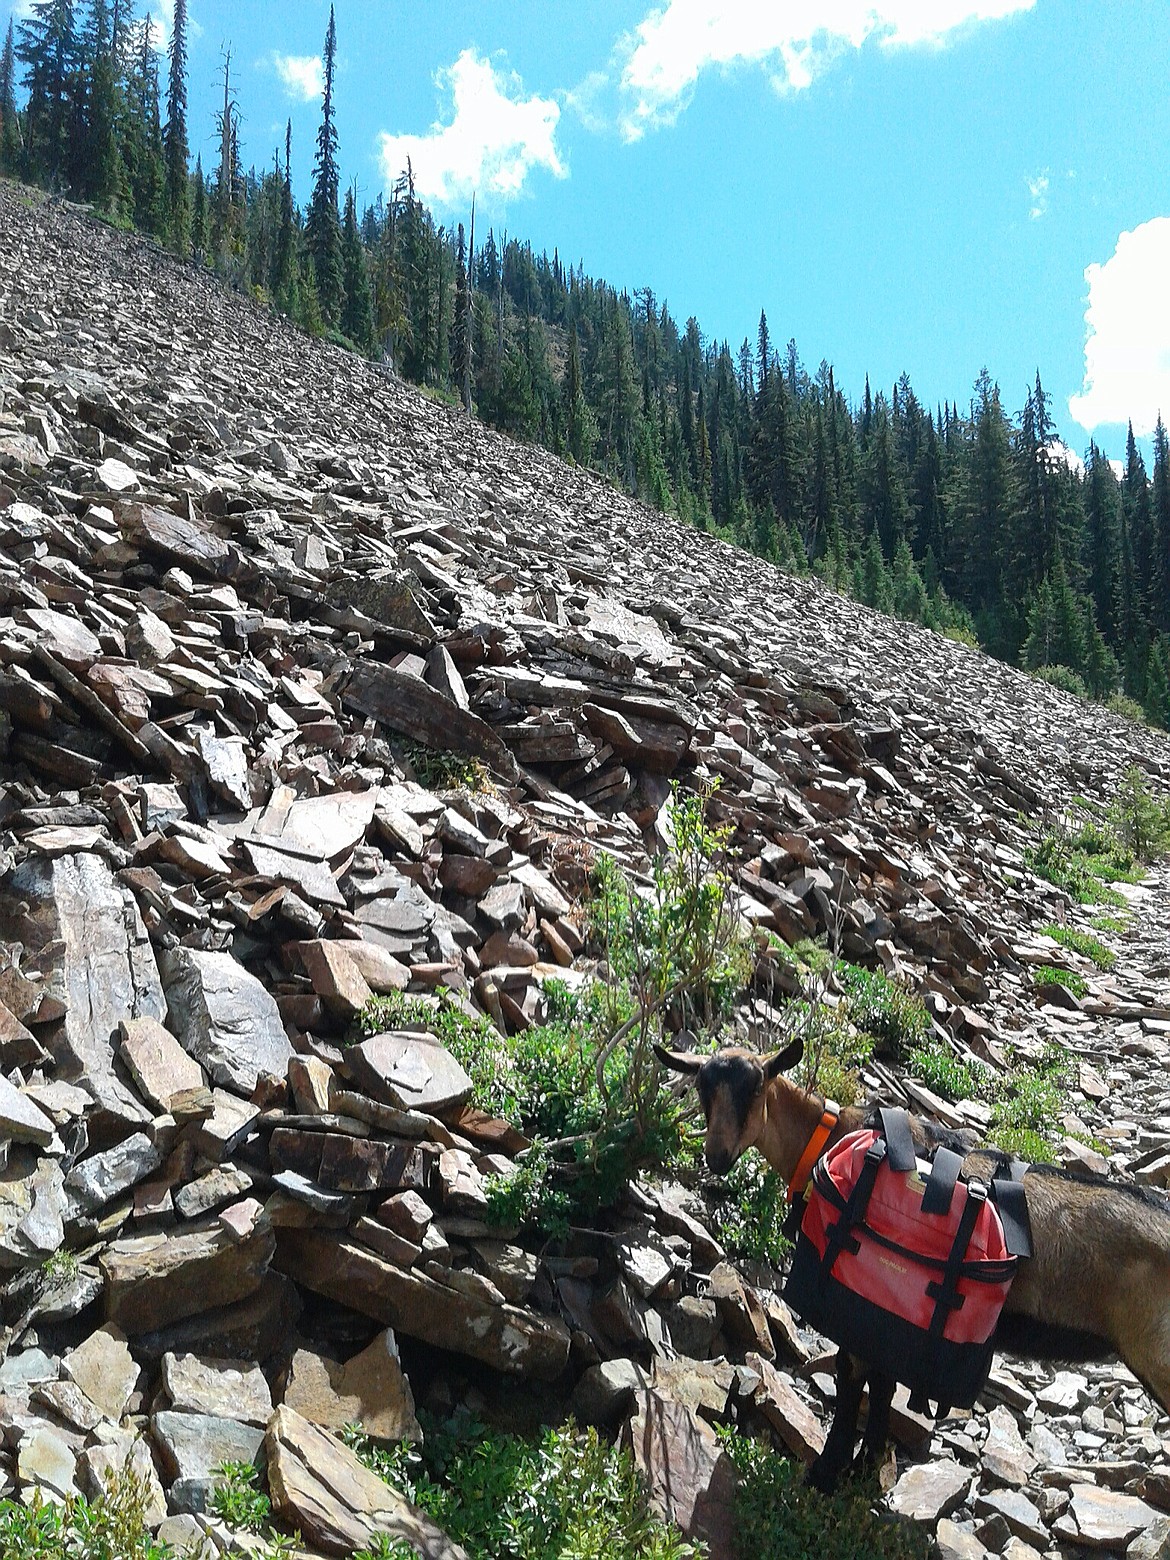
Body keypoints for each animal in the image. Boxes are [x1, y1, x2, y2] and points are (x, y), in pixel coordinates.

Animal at [655, 1035, 1170, 1485]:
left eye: (756, 1087)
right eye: (702, 1089)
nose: (716, 1156)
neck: (831, 1139)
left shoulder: (855, 1308)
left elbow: (852, 1385)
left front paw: (826, 1474)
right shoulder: (890, 1319)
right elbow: (883, 1387)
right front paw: (866, 1468)